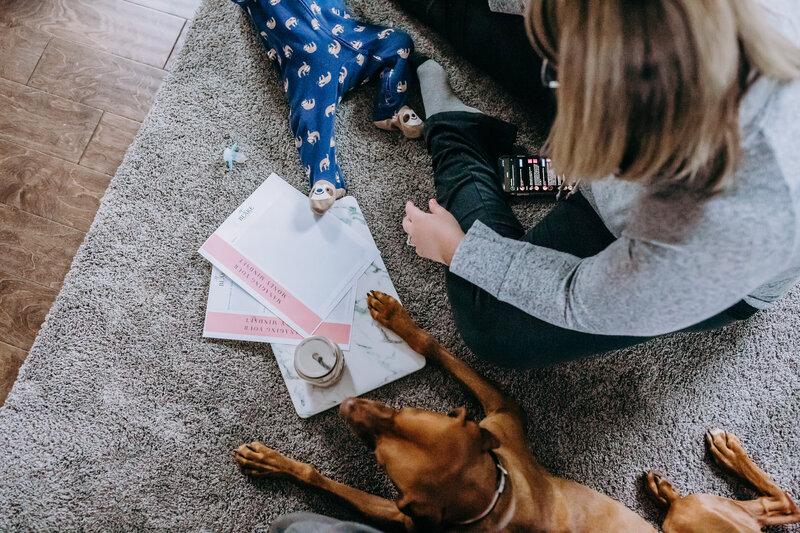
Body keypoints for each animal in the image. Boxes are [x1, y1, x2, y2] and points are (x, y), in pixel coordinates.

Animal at [233, 294, 800, 528]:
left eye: (381, 458)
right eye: (403, 410)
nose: (348, 403)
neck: (495, 499)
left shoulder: (403, 510)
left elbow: (329, 482)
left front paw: (273, 462)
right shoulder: (493, 423)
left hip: (693, 519)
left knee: (784, 502)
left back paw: (721, 459)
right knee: (778, 507)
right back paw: (694, 474)